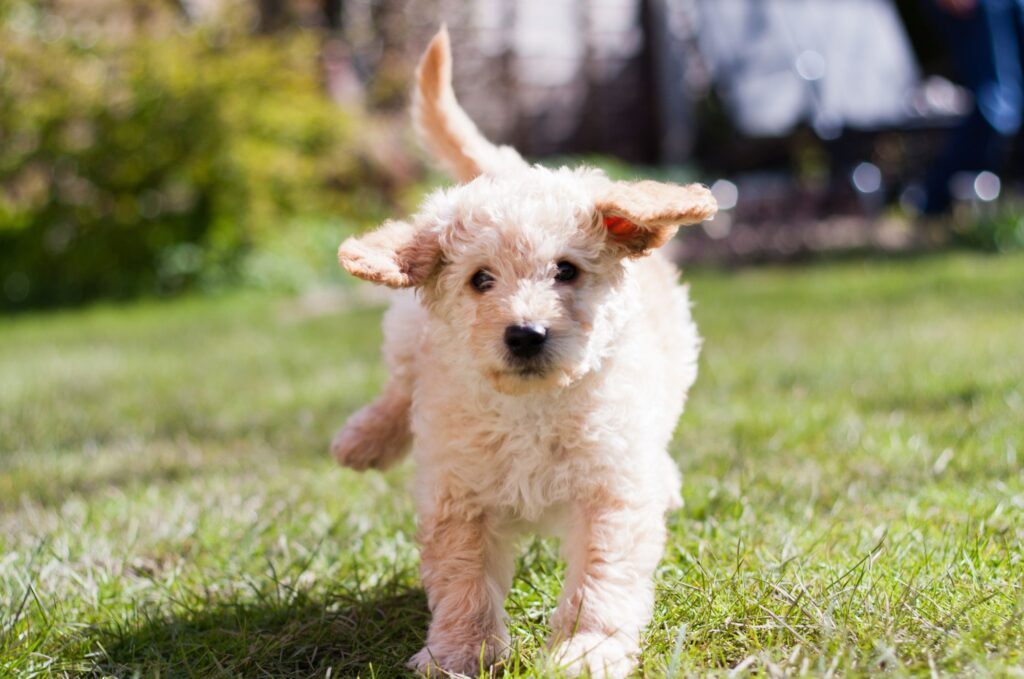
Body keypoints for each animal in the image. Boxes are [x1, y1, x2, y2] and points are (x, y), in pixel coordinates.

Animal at [331, 26, 716, 679]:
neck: (531, 409)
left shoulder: (609, 492)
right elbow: (462, 578)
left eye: (566, 271)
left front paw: (587, 650)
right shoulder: (459, 493)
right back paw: (362, 440)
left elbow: (601, 576)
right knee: (399, 388)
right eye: (481, 280)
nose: (526, 334)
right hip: (409, 336)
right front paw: (458, 654)